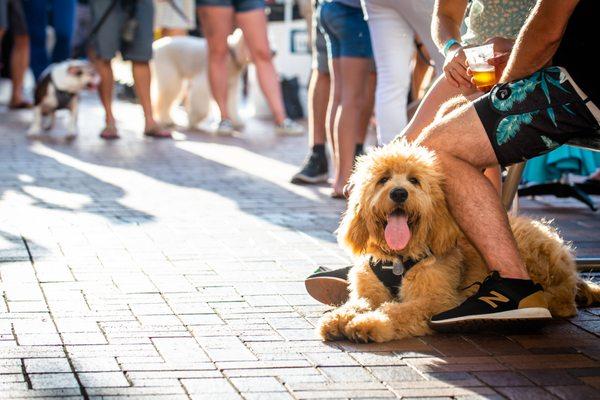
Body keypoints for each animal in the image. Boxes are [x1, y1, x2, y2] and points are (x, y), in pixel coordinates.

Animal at [322, 139, 600, 342]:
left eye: (414, 180)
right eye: (383, 179)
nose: (399, 193)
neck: (399, 259)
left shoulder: (437, 300)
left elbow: (397, 309)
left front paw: (370, 323)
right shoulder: (369, 292)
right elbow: (357, 303)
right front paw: (339, 317)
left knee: (562, 301)